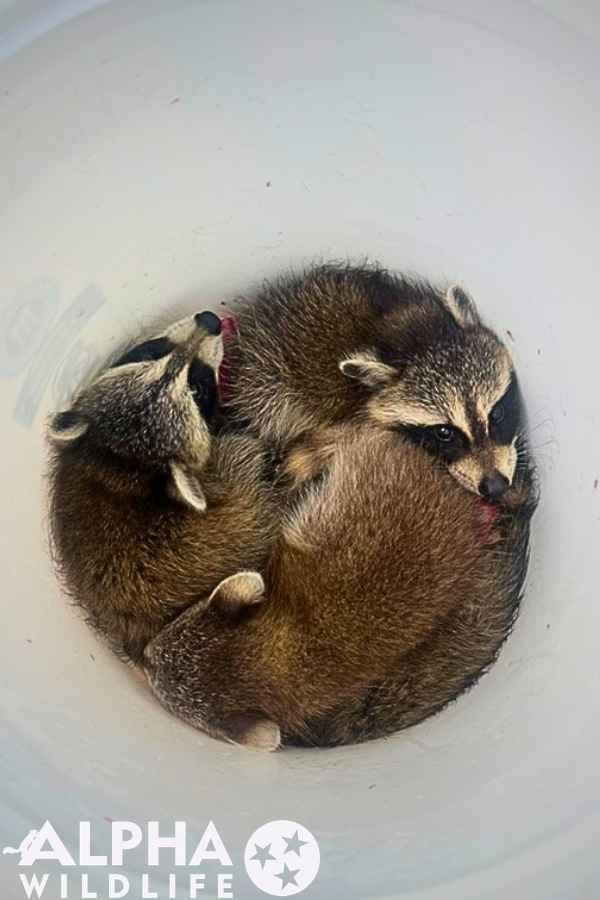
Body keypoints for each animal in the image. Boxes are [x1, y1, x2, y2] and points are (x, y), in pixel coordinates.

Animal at [227, 264, 526, 501]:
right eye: (444, 432)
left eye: (496, 414)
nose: (496, 486)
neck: (409, 333)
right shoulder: (348, 426)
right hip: (266, 381)